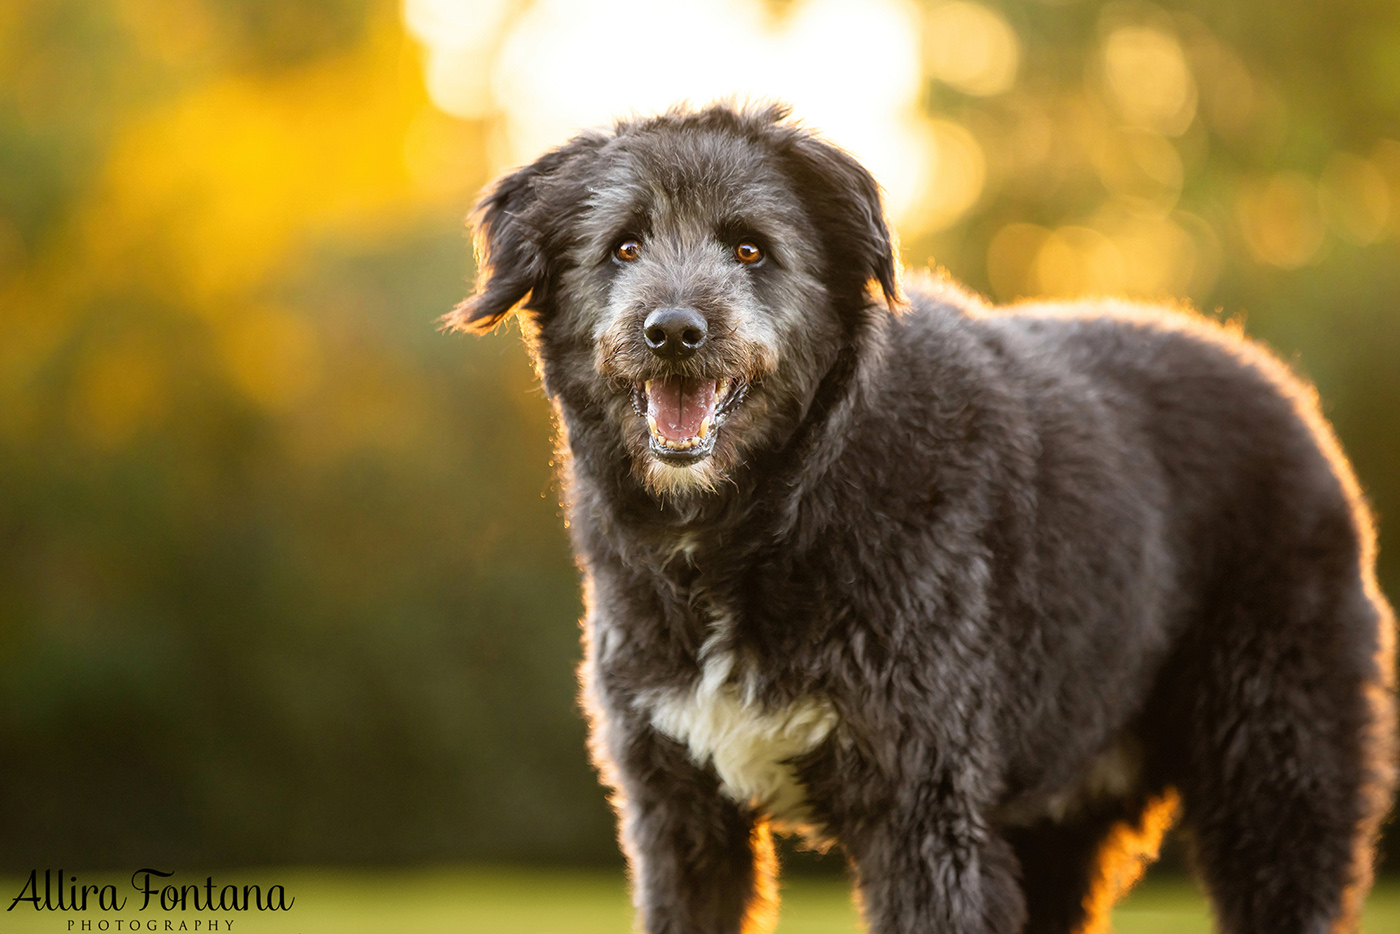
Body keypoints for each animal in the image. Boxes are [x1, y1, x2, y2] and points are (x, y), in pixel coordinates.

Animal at [453, 104, 1394, 934]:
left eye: (750, 246)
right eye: (624, 244)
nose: (673, 331)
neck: (779, 507)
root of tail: (1288, 395)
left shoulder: (924, 813)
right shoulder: (680, 817)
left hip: (1278, 787)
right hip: (1057, 828)